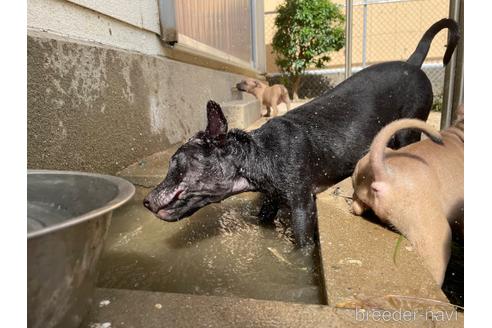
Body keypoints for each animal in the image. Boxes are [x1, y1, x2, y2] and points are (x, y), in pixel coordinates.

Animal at [144, 18, 460, 246]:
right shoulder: (270, 200)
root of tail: (412, 63)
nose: (146, 201)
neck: (260, 153)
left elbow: (303, 246)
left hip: (409, 129)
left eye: (176, 164)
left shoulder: (301, 207)